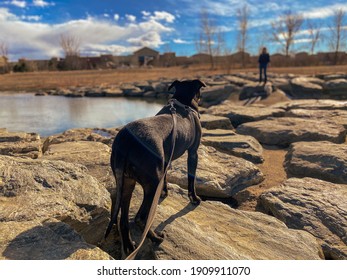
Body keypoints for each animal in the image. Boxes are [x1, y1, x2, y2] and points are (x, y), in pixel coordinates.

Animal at [106, 79, 207, 258]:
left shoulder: (165, 160)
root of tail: (126, 142)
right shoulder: (193, 153)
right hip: (151, 184)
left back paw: (129, 246)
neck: (182, 102)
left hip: (126, 182)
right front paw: (194, 198)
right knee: (141, 218)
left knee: (123, 219)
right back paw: (155, 238)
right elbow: (191, 179)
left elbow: (166, 178)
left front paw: (165, 192)